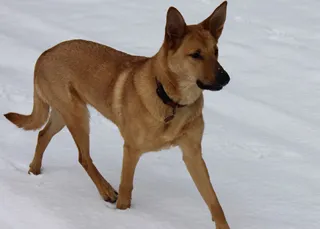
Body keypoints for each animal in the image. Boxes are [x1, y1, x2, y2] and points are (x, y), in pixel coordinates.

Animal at [3, 0, 231, 228]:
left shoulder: (192, 154)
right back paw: (105, 191)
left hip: (64, 113)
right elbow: (125, 189)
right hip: (77, 116)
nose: (226, 78)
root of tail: (45, 54)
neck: (172, 101)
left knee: (43, 134)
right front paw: (122, 216)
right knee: (83, 157)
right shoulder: (131, 150)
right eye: (196, 55)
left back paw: (34, 170)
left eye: (216, 51)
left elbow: (213, 200)